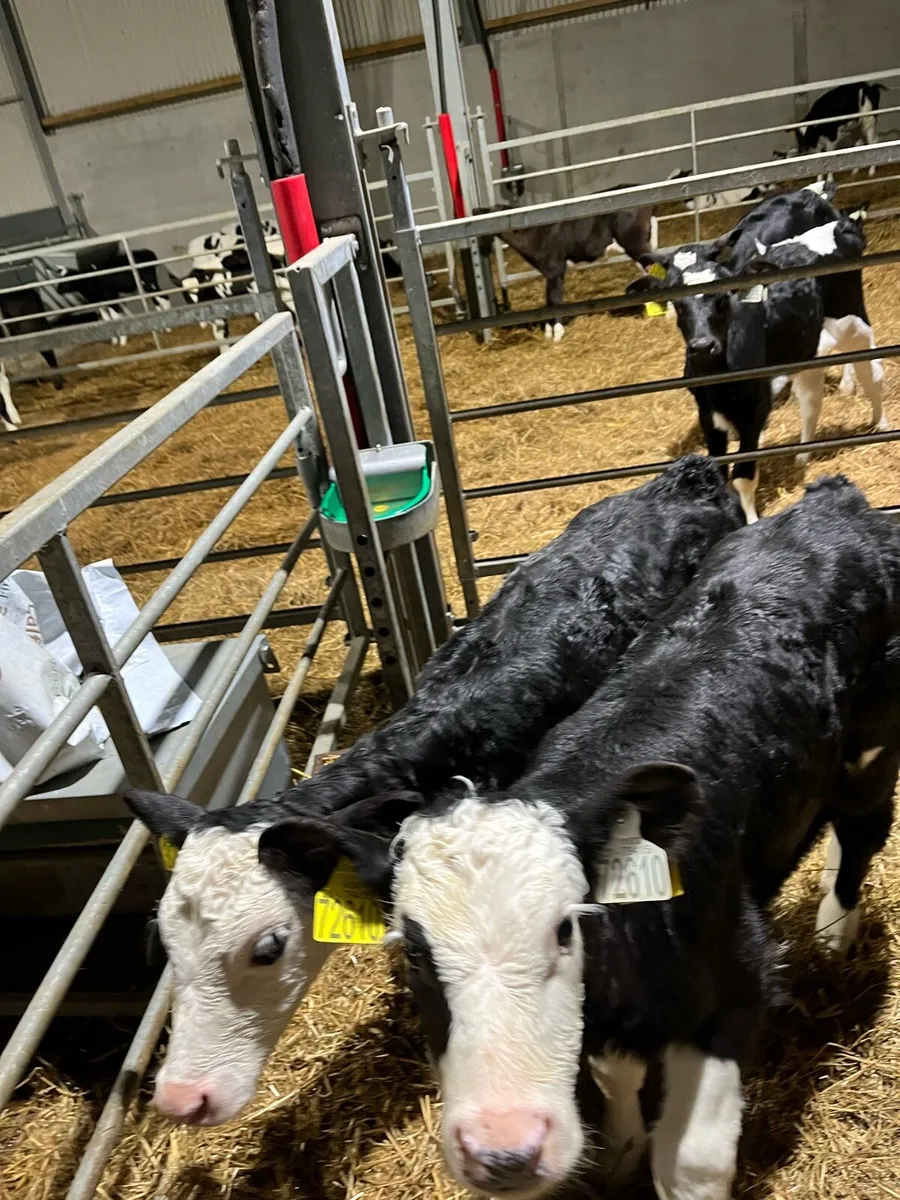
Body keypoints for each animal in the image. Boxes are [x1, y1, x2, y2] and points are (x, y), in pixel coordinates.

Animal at [284, 477, 900, 1200]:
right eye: (412, 953)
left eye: (563, 929)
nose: (504, 1150)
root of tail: (832, 502)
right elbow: (616, 1075)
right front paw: (622, 1147)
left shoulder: (737, 979)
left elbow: (692, 1164)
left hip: (872, 751)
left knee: (862, 832)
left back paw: (834, 932)